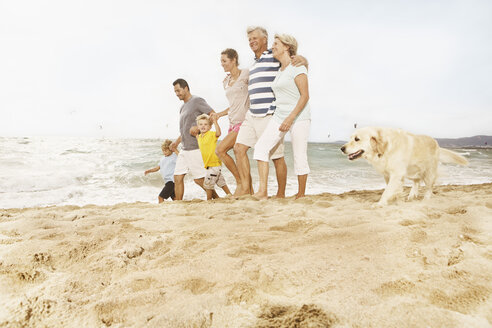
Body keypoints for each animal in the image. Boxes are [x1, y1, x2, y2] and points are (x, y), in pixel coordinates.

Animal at [340, 127, 468, 206]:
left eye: (357, 139)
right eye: (351, 138)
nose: (341, 148)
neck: (384, 148)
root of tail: (436, 143)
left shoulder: (396, 173)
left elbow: (387, 190)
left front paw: (381, 203)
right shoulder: (388, 174)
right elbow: (391, 188)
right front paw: (395, 199)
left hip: (428, 172)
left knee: (429, 187)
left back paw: (426, 199)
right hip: (412, 170)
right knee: (416, 181)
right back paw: (412, 195)